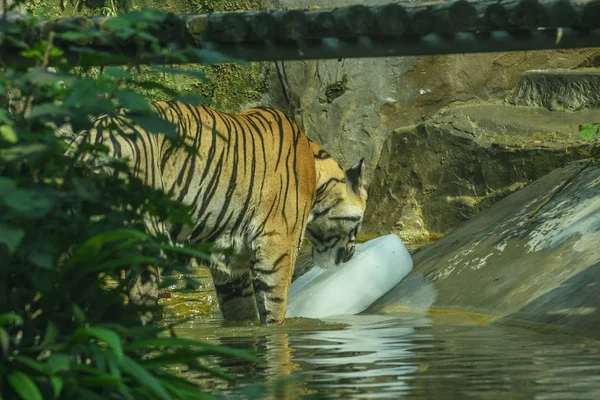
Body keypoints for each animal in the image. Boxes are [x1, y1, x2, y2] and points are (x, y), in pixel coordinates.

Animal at [69, 101, 370, 324]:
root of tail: (95, 134)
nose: (351, 254)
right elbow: (275, 309)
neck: (317, 176)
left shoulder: (231, 259)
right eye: (359, 223)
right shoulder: (277, 246)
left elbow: (241, 312)